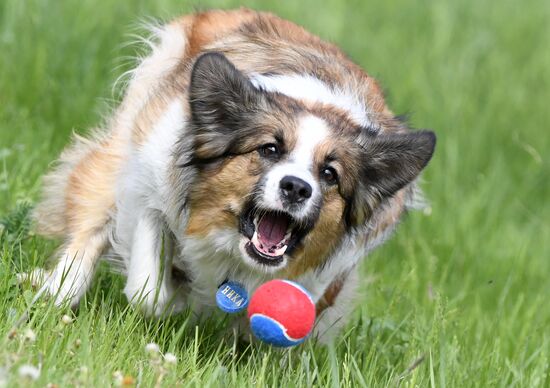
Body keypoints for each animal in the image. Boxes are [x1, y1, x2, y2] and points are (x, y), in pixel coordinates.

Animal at [25, 8, 438, 342]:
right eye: (270, 149)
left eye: (329, 173)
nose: (296, 188)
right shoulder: (149, 175)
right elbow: (147, 289)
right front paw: (175, 297)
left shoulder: (327, 275)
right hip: (123, 140)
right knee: (91, 222)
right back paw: (56, 291)